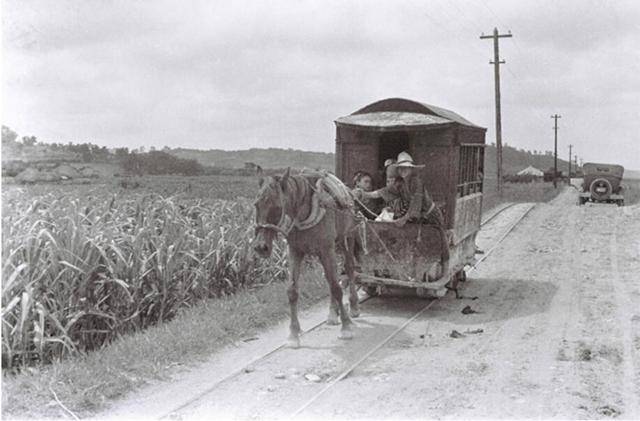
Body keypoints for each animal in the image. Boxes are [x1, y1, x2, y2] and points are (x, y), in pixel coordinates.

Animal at [254, 167, 362, 348]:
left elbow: (337, 288)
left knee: (349, 269)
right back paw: (332, 314)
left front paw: (346, 327)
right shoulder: (295, 252)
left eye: (277, 207)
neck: (305, 213)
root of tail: (349, 191)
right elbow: (292, 291)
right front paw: (293, 334)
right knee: (330, 278)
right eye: (256, 205)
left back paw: (353, 306)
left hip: (347, 239)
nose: (260, 247)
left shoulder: (327, 250)